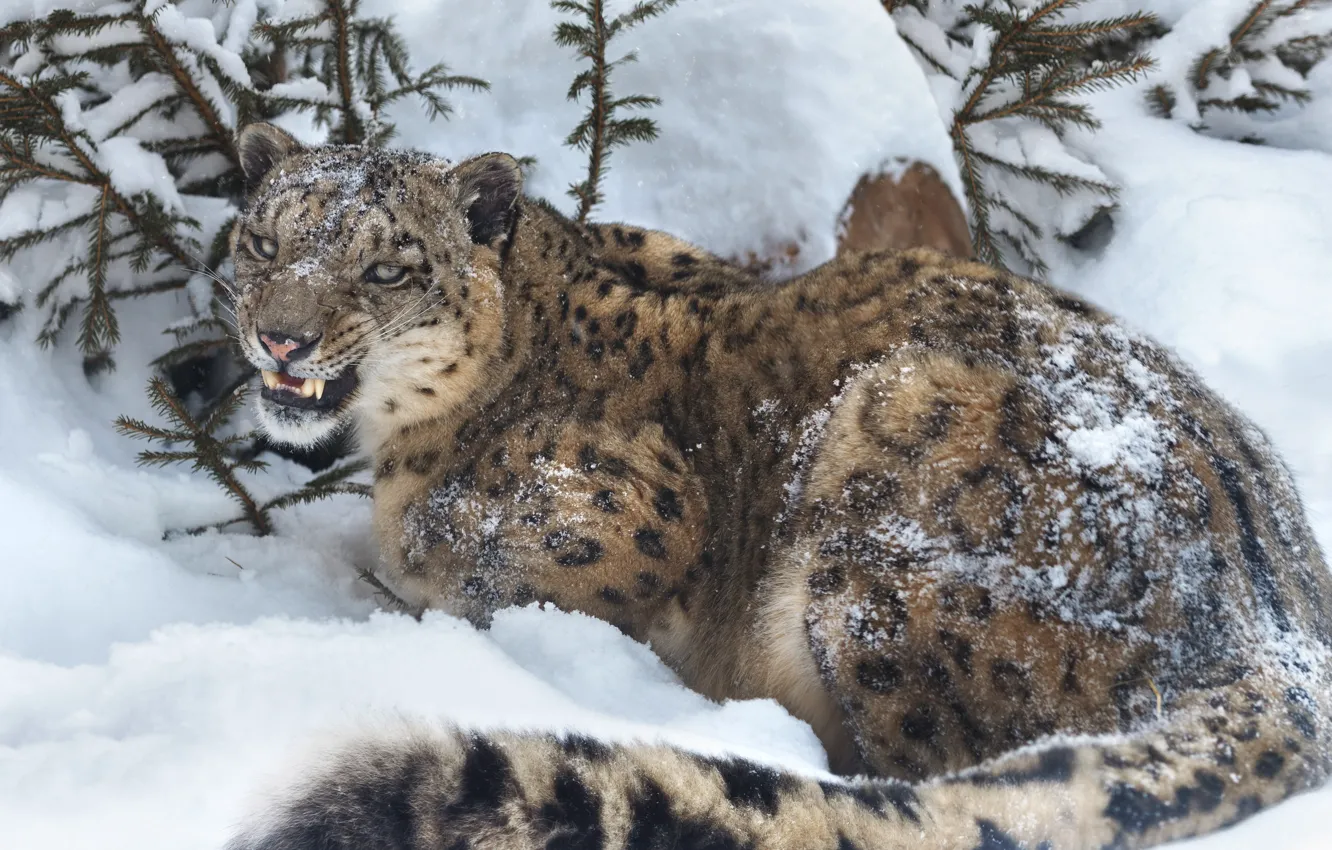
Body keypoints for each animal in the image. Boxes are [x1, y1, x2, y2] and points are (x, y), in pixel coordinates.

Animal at [225, 122, 1332, 850]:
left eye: (388, 269)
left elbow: (468, 562)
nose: (281, 337)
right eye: (264, 242)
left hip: (889, 494)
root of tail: (1276, 628)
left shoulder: (623, 517)